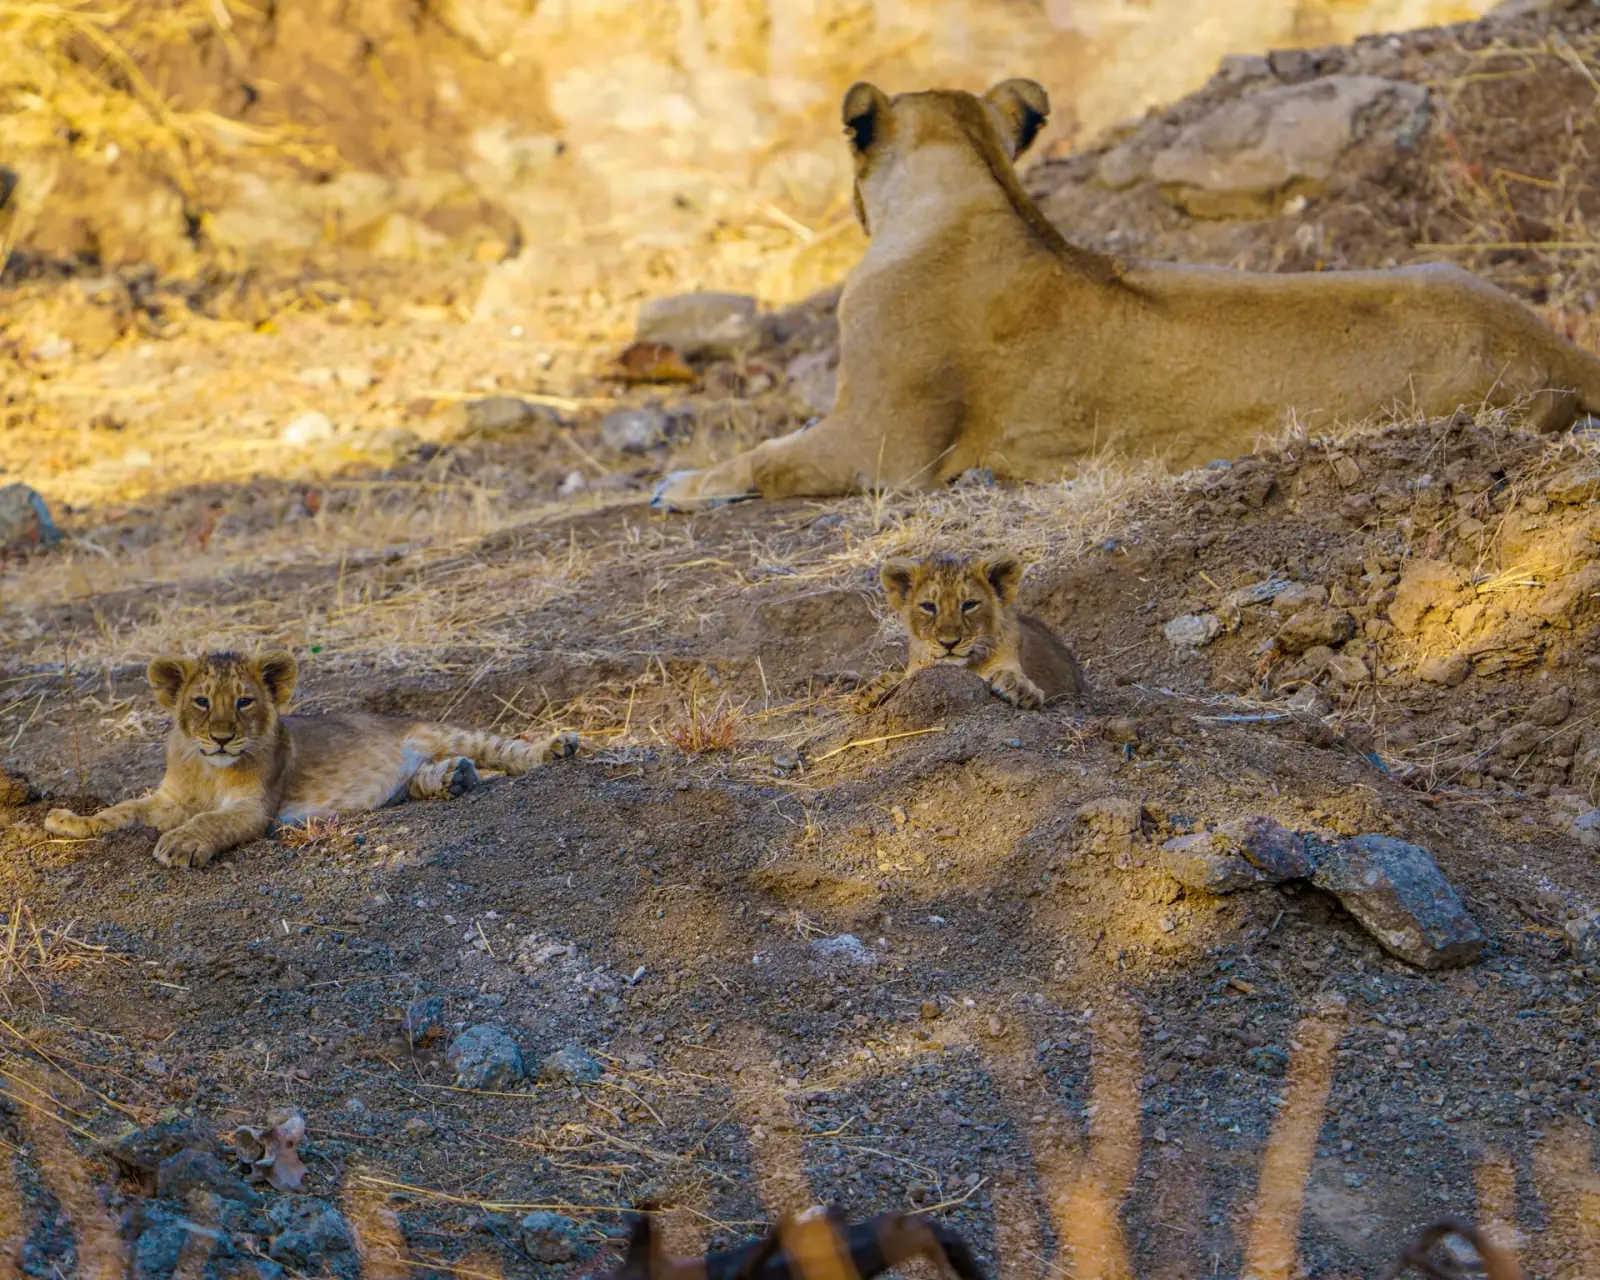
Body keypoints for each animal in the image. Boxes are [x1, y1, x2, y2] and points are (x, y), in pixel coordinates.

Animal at [43, 651, 579, 869]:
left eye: (244, 702)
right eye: (201, 702)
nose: (221, 738)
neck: (208, 769)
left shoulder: (254, 807)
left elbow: (210, 823)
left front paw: (180, 844)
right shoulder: (167, 800)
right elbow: (121, 810)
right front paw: (68, 821)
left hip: (445, 730)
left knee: (505, 750)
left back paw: (557, 747)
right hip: (413, 776)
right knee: (424, 781)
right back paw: (454, 779)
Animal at [651, 78, 1600, 511]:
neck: (980, 193)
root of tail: (1560, 348)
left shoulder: (883, 450)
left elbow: (766, 457)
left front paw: (681, 482)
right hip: (1447, 269)